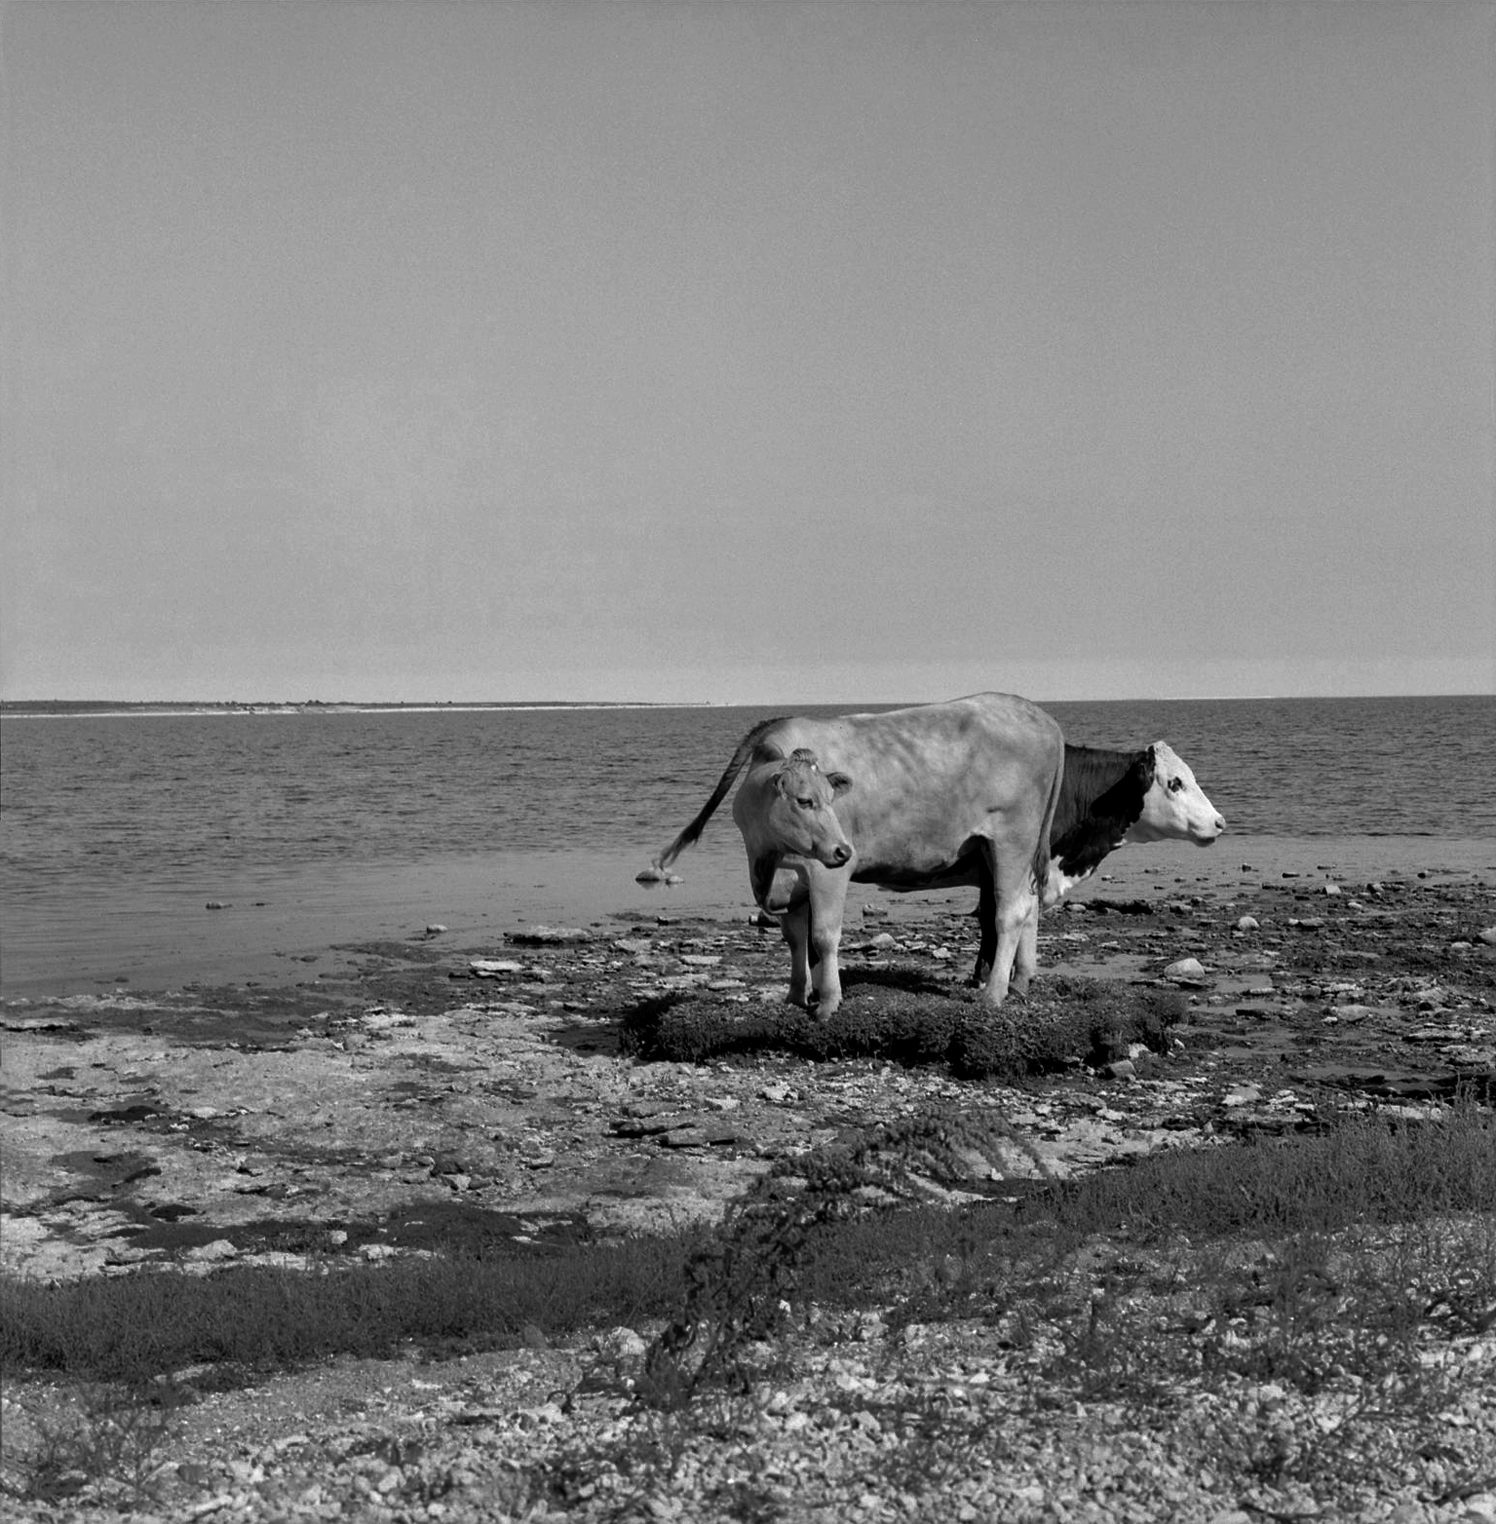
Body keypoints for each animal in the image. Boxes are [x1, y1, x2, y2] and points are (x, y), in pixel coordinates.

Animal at [651, 693, 1065, 1016]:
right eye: (805, 800)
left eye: (831, 799)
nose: (842, 847)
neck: (765, 858)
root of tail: (1038, 714)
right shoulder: (792, 881)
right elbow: (795, 939)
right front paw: (795, 996)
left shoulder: (826, 873)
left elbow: (823, 936)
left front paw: (828, 1002)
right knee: (1029, 907)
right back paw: (1020, 982)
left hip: (1011, 840)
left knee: (1009, 913)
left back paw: (994, 993)